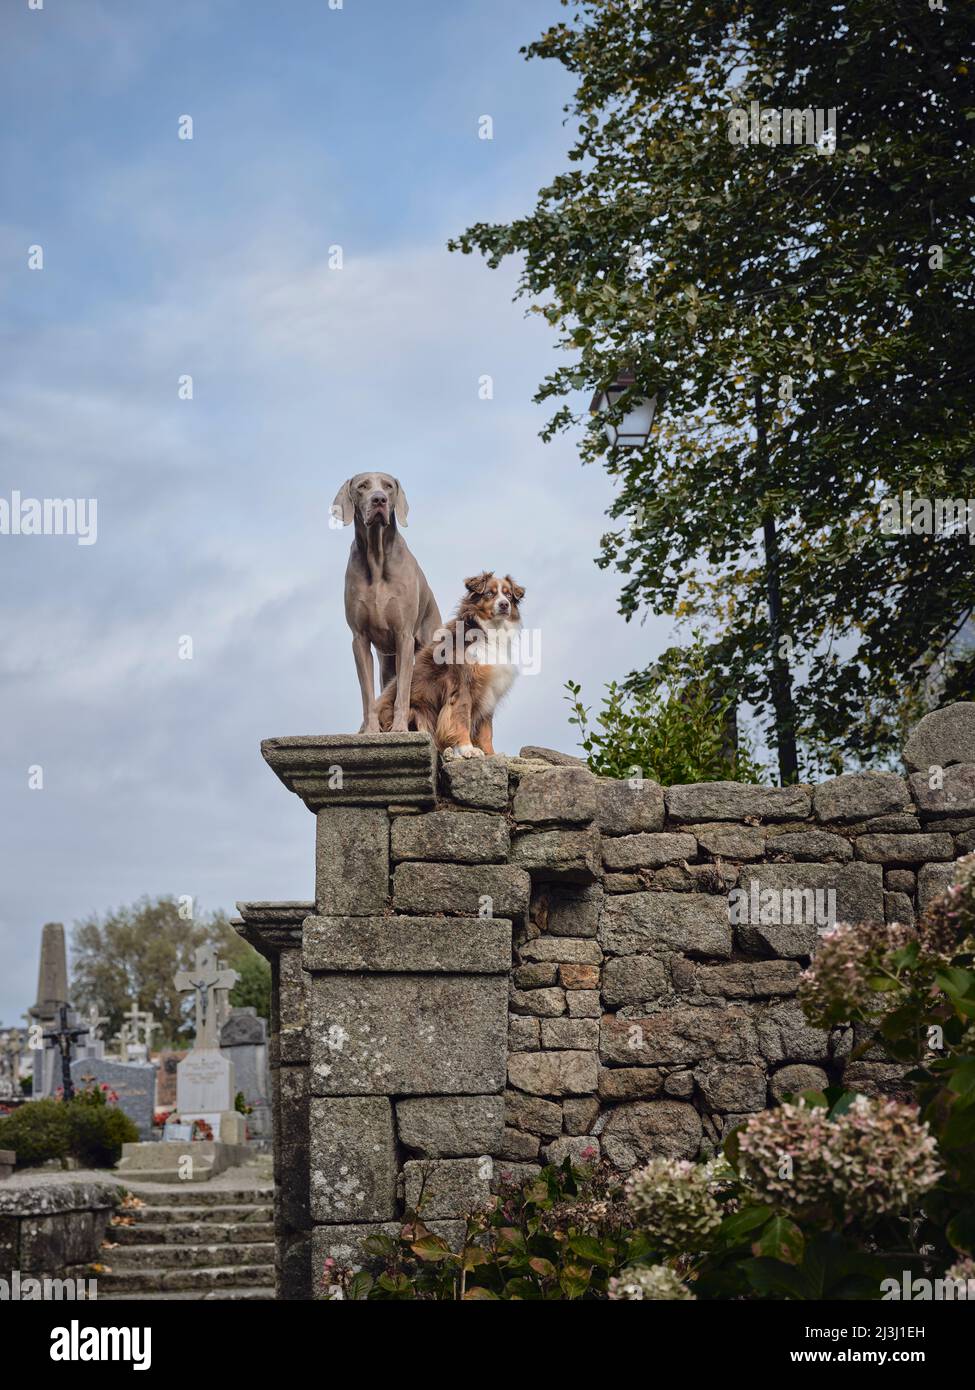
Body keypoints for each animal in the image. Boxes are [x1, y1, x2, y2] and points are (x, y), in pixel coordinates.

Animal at [332, 475, 442, 739]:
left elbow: (403, 690)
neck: (376, 556)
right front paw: (371, 730)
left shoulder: (404, 636)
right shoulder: (359, 639)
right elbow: (368, 693)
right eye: (362, 486)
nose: (379, 499)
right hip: (386, 662)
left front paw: (400, 728)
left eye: (388, 486)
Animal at [375, 569, 525, 756]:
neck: (488, 630)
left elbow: (486, 729)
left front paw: (490, 754)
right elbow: (462, 717)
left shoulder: (489, 689)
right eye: (490, 593)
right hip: (416, 711)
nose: (504, 605)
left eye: (508, 595)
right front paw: (468, 749)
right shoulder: (462, 685)